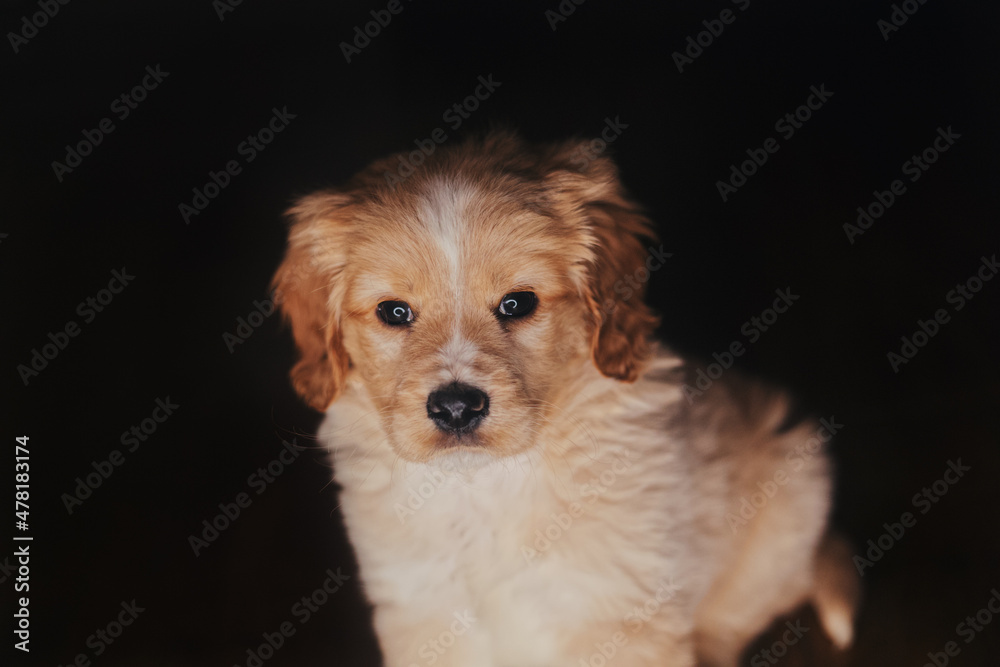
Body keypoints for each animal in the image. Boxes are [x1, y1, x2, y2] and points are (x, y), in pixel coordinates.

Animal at [274, 130, 860, 667]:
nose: (457, 407)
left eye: (518, 303)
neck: (484, 485)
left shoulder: (618, 612)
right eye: (393, 312)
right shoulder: (426, 611)